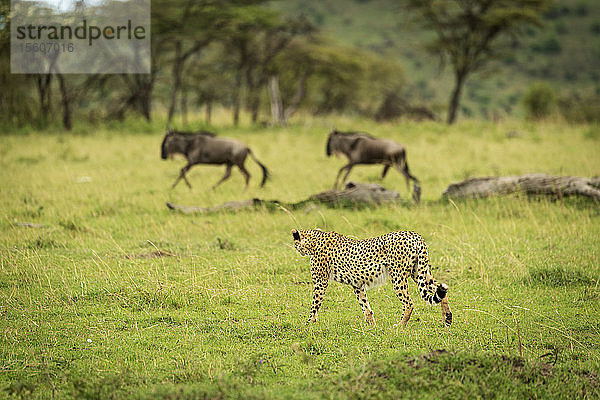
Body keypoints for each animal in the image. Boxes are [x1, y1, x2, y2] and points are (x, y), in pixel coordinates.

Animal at [290, 230, 450, 326]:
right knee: (441, 289)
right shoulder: (357, 284)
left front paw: (309, 323)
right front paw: (370, 324)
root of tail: (413, 234)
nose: (298, 250)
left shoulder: (320, 282)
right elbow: (365, 304)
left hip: (398, 276)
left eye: (296, 245)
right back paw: (447, 318)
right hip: (418, 272)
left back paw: (400, 325)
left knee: (409, 303)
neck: (314, 240)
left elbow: (315, 304)